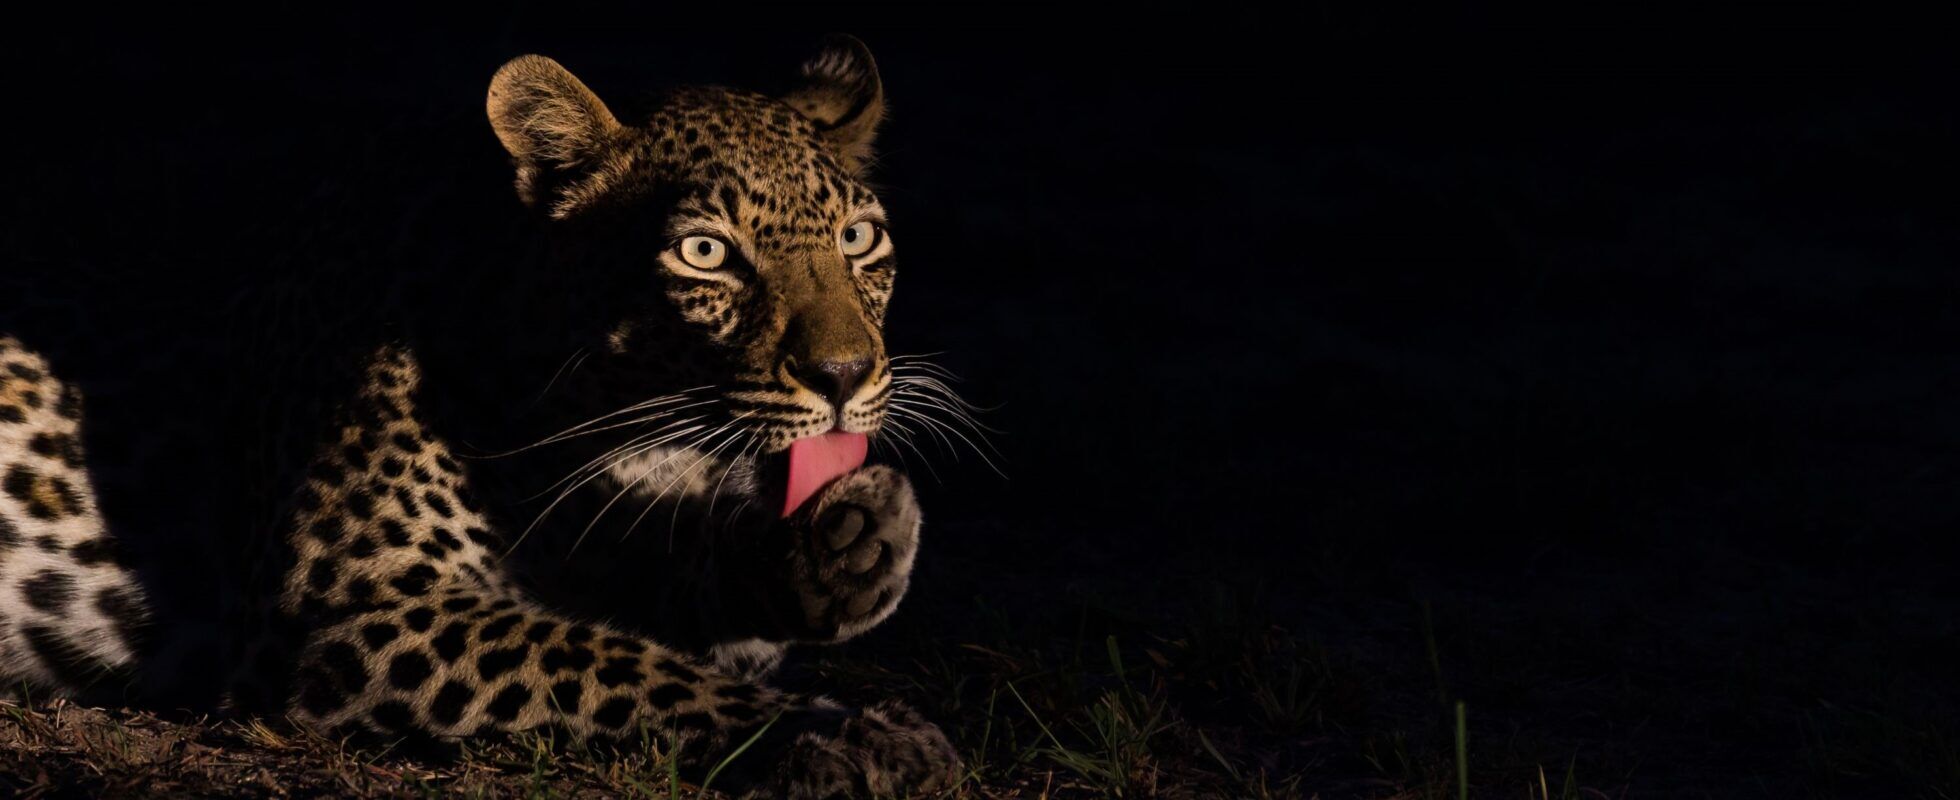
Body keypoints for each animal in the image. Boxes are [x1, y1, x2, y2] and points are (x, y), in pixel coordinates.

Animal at [0, 34, 964, 796]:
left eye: (859, 239)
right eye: (705, 254)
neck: (593, 425)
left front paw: (847, 544)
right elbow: (622, 662)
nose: (842, 375)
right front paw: (843, 731)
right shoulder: (352, 608)